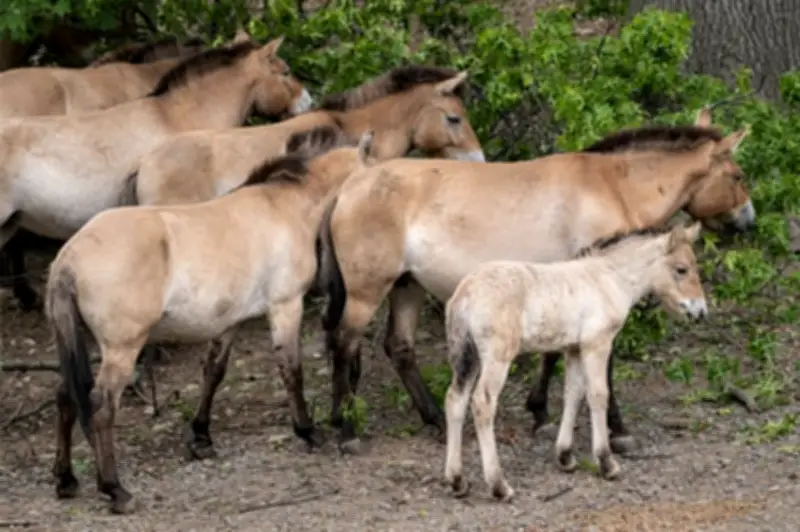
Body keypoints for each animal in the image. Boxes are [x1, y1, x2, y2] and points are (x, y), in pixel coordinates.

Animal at [45, 125, 371, 515]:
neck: (284, 206)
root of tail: (69, 259)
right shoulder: (286, 306)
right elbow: (292, 370)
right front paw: (307, 431)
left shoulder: (230, 322)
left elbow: (213, 373)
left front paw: (201, 437)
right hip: (122, 348)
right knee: (100, 406)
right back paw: (115, 489)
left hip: (80, 340)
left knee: (66, 396)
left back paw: (66, 480)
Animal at [315, 114, 754, 452]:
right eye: (737, 175)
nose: (748, 221)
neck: (612, 187)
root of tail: (350, 187)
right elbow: (601, 364)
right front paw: (618, 430)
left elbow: (553, 352)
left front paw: (539, 413)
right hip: (368, 293)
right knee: (344, 342)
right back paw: (346, 429)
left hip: (407, 287)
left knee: (399, 348)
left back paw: (435, 419)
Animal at [443, 222, 706, 502]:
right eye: (681, 269)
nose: (700, 311)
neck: (610, 279)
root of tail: (466, 293)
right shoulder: (597, 344)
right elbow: (598, 395)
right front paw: (607, 463)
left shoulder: (574, 349)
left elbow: (573, 394)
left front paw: (565, 457)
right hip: (497, 356)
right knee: (483, 403)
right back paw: (499, 485)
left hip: (465, 355)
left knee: (455, 400)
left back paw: (457, 481)